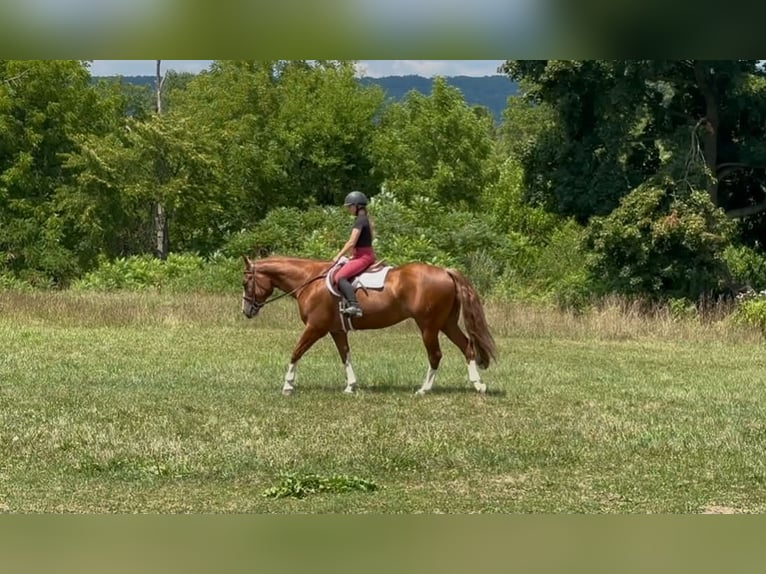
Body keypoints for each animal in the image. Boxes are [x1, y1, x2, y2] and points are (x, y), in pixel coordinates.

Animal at [241, 255, 496, 395]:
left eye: (245, 282)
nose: (246, 311)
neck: (309, 281)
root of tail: (445, 271)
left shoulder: (315, 328)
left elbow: (296, 352)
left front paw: (287, 385)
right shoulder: (336, 330)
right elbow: (345, 355)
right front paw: (351, 386)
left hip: (428, 326)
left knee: (435, 355)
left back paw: (424, 389)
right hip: (446, 323)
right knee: (467, 347)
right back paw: (478, 385)